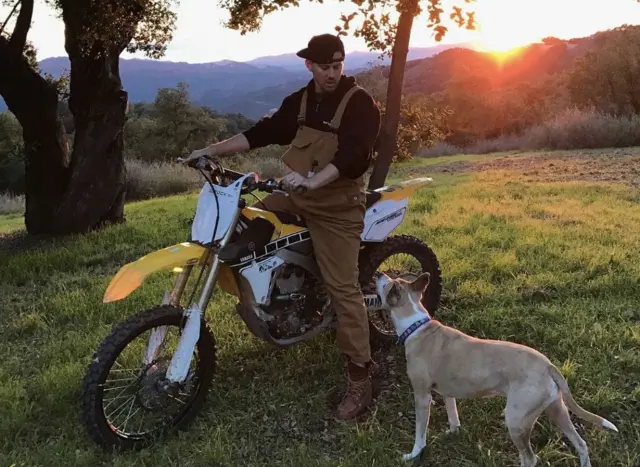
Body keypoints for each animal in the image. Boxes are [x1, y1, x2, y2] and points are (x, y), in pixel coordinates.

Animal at [376, 272, 619, 467]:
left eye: (387, 284)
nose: (378, 274)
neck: (416, 326)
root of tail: (548, 365)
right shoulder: (447, 391)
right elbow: (453, 414)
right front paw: (453, 432)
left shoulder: (422, 396)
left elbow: (420, 433)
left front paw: (413, 454)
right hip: (557, 409)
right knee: (581, 444)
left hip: (517, 420)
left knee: (530, 458)